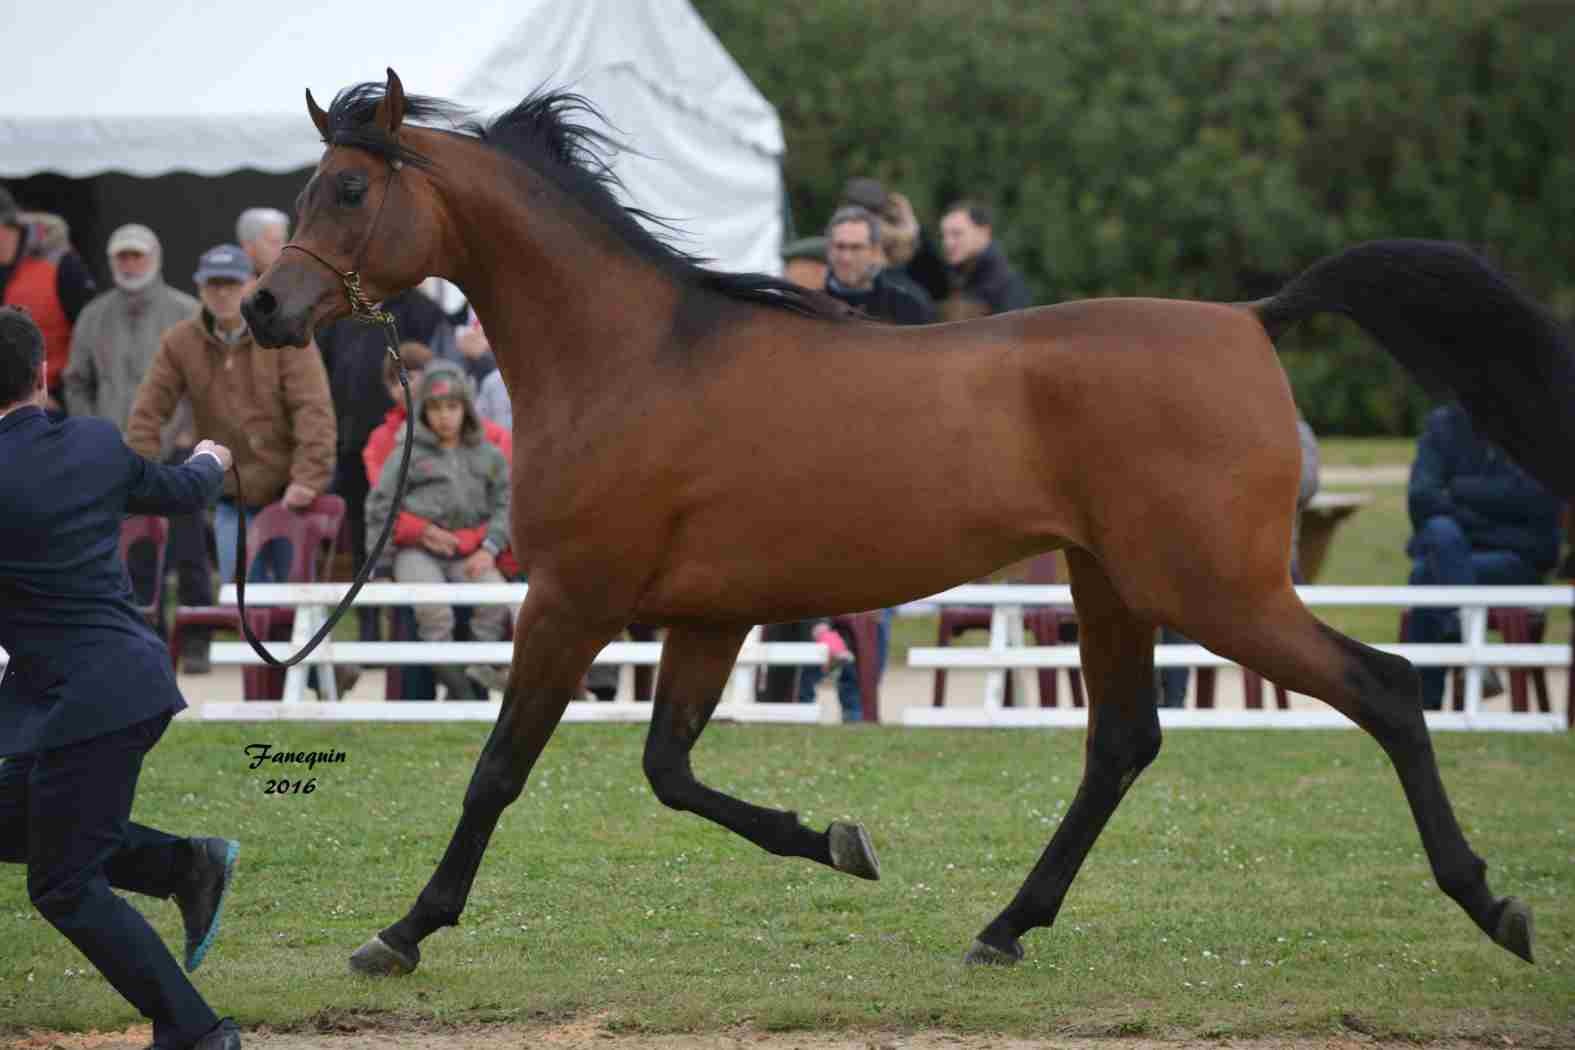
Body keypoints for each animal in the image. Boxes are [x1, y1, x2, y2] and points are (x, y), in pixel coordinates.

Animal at [239, 69, 1568, 982]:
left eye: (347, 188)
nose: (262, 310)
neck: (630, 356)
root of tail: (1250, 318)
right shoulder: (709, 617)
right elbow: (671, 772)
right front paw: (837, 839)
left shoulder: (574, 601)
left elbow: (499, 771)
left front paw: (402, 932)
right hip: (1111, 586)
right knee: (1123, 744)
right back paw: (1005, 928)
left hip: (1217, 591)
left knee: (1388, 687)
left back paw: (1492, 905)